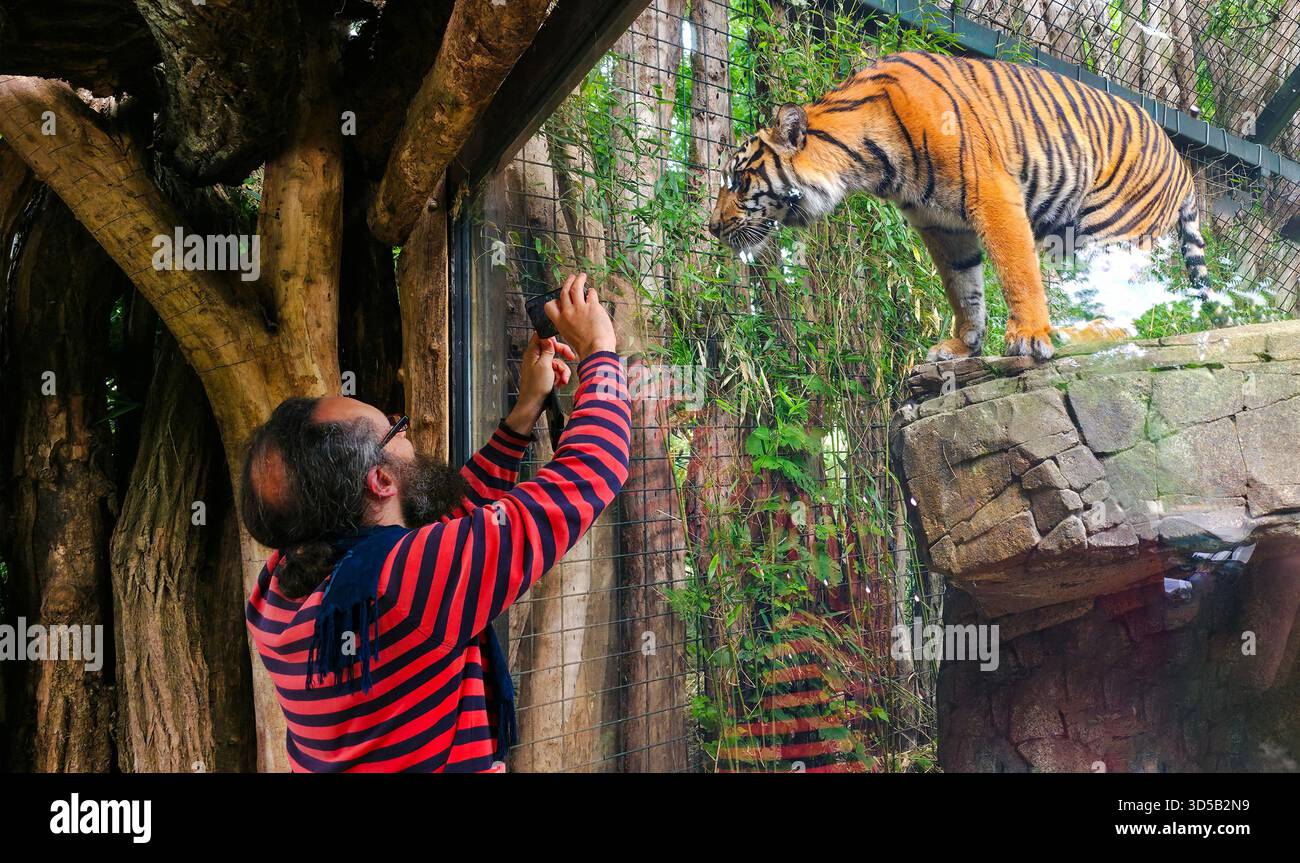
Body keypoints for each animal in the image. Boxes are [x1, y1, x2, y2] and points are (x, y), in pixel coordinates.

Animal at [708, 50, 1210, 362]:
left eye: (738, 180)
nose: (711, 227)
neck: (868, 162)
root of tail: (1186, 169)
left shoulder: (994, 194)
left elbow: (1017, 272)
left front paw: (1029, 337)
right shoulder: (940, 224)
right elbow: (963, 286)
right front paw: (963, 346)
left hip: (1110, 233)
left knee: (1129, 313)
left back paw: (1073, 333)